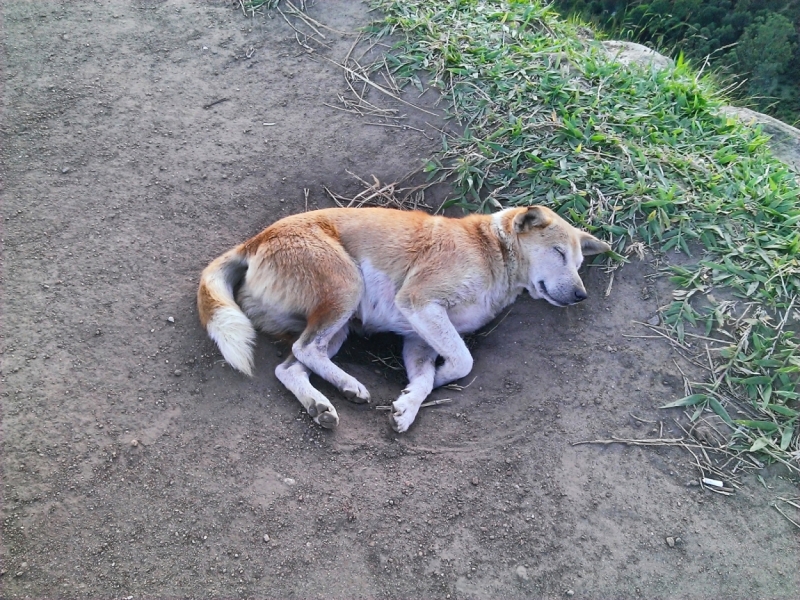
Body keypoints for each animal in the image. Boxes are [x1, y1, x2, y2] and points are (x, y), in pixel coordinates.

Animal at [197, 206, 608, 432]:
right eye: (558, 253)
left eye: (579, 263)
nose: (581, 295)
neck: (491, 248)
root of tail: (255, 240)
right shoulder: (420, 302)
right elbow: (463, 361)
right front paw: (438, 380)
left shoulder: (419, 339)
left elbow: (427, 377)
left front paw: (409, 404)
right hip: (346, 287)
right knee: (306, 349)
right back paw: (351, 385)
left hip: (338, 325)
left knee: (290, 366)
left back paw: (322, 405)